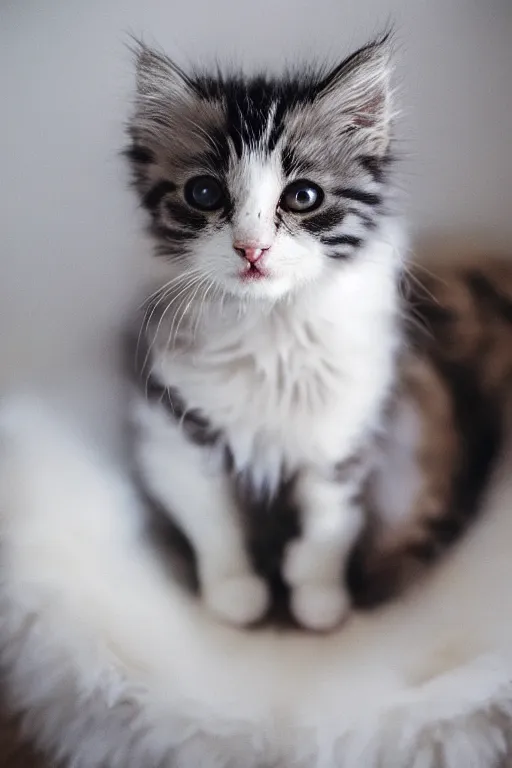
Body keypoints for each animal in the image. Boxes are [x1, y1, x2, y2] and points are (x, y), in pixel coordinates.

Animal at [125, 36, 404, 632]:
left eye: (303, 197)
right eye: (204, 192)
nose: (252, 248)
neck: (270, 327)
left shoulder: (347, 425)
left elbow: (330, 522)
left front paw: (320, 598)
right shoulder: (172, 421)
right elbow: (212, 517)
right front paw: (234, 594)